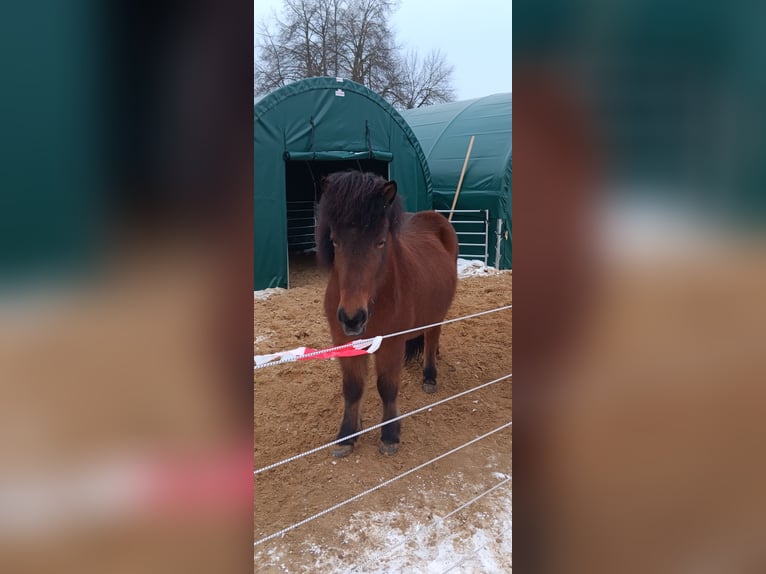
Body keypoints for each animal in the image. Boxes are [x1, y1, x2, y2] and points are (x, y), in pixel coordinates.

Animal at [316, 170, 458, 457]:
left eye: (380, 242)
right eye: (335, 241)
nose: (352, 318)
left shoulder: (392, 344)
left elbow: (387, 388)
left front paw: (390, 435)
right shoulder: (345, 343)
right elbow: (353, 388)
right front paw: (347, 436)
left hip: (437, 313)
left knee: (432, 338)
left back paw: (430, 376)